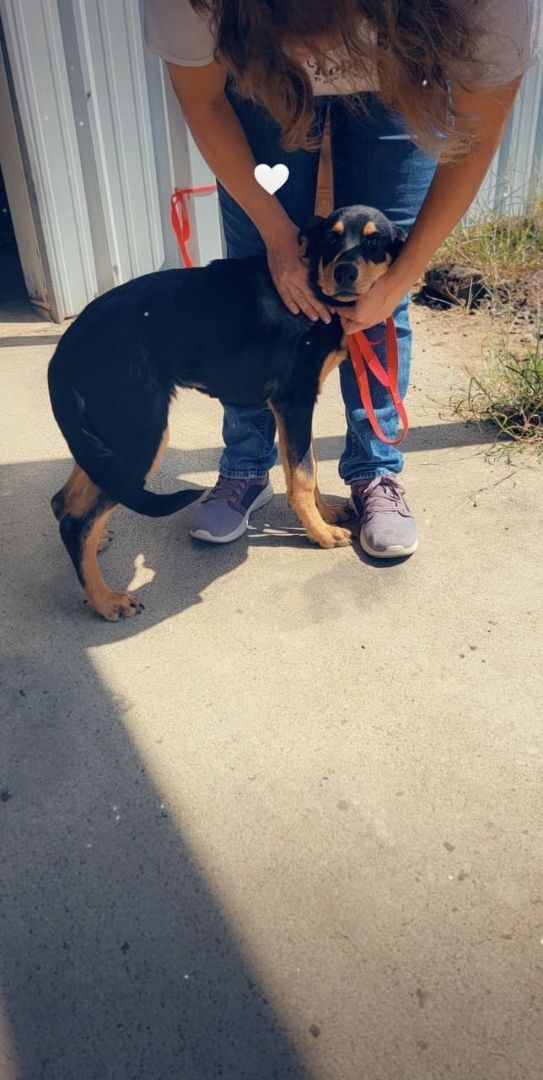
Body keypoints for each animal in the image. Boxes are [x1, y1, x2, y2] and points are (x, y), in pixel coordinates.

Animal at [48, 205, 405, 620]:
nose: (344, 273)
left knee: (65, 501)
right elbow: (302, 474)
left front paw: (324, 514)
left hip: (111, 435)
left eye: (374, 242)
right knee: (75, 521)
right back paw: (105, 601)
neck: (314, 284)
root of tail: (65, 349)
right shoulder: (293, 400)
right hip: (140, 434)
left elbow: (308, 464)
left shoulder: (296, 408)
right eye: (331, 238)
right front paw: (320, 533)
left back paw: (97, 548)